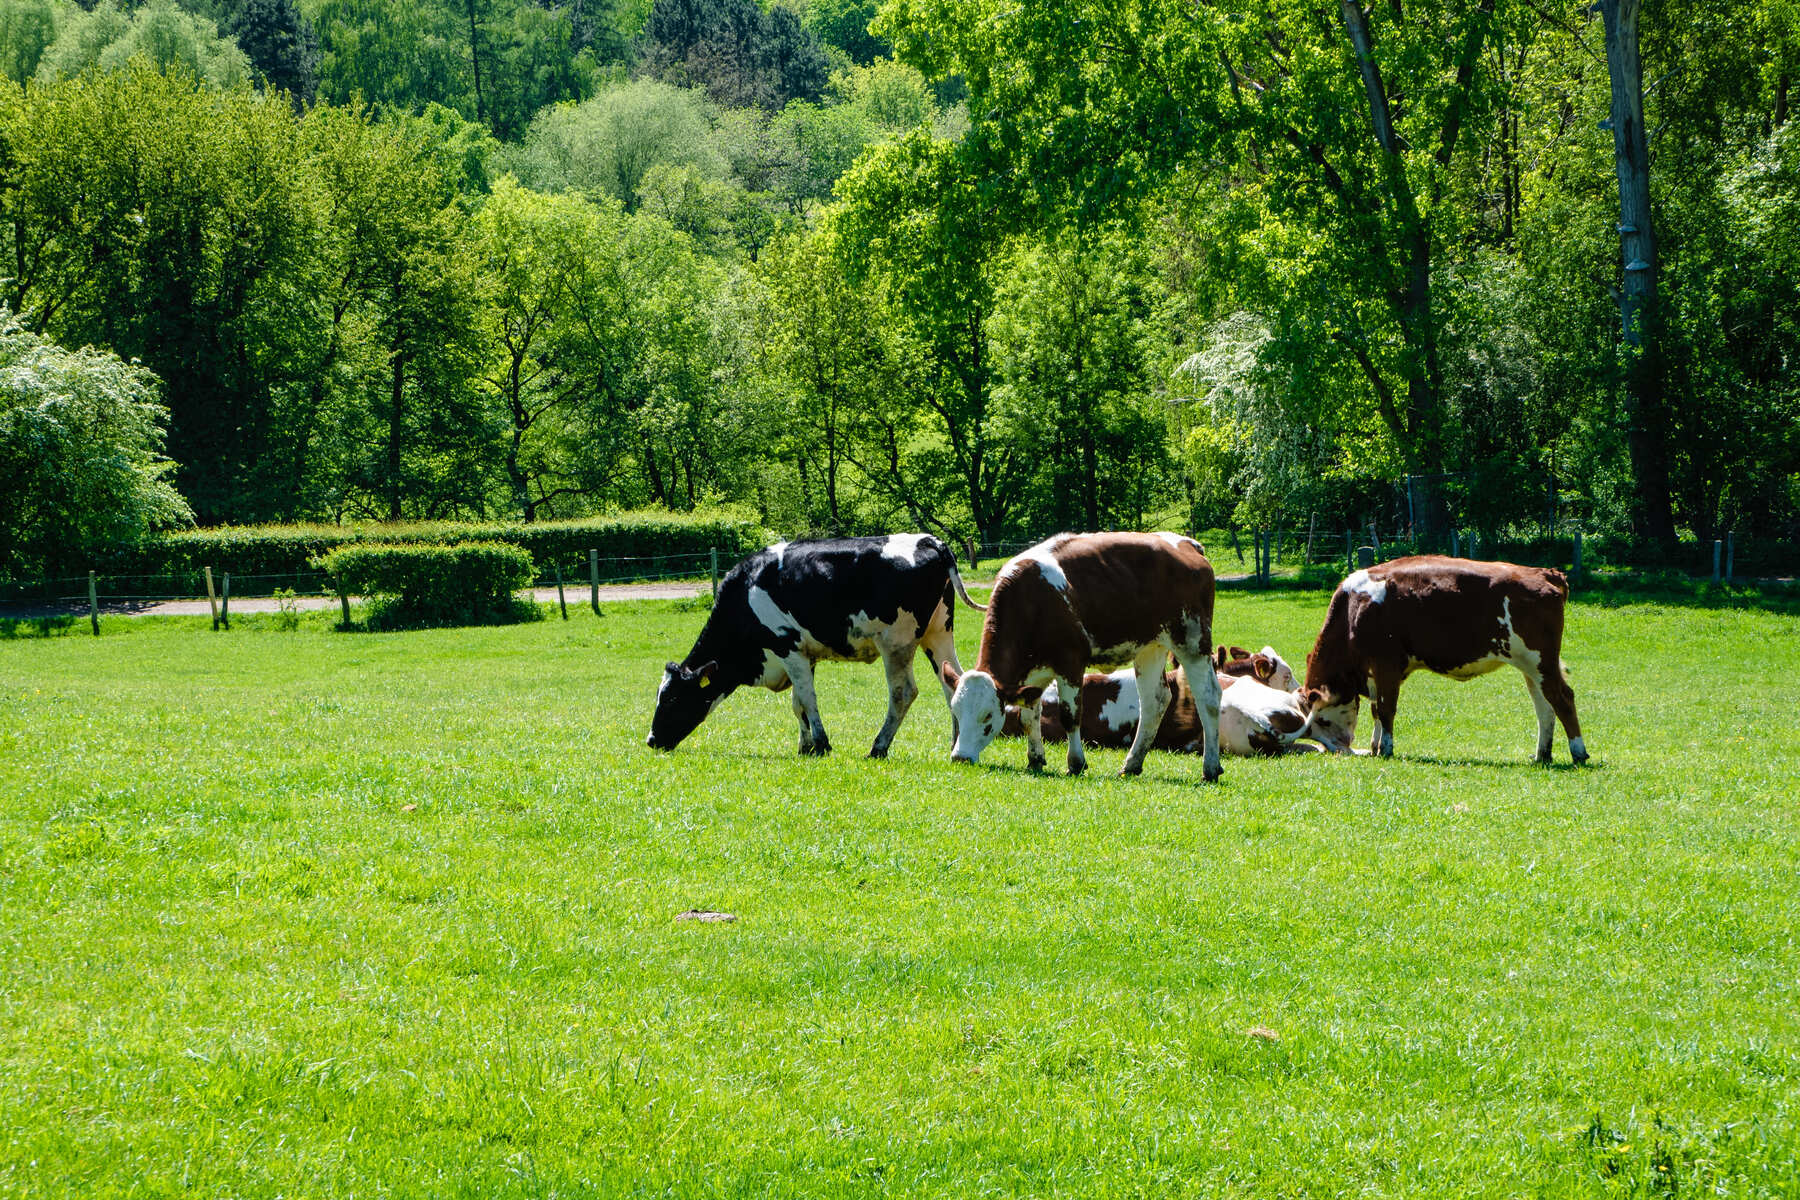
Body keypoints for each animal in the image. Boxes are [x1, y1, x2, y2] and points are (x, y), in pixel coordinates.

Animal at [646, 535, 986, 757]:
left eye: (673, 698)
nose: (651, 740)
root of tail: (929, 540)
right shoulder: (803, 656)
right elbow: (798, 703)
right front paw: (805, 745)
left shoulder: (787, 647)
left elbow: (808, 699)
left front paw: (821, 744)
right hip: (938, 634)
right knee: (953, 681)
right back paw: (954, 743)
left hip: (896, 642)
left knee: (903, 693)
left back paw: (878, 746)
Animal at [941, 532, 1222, 780]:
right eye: (955, 712)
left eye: (987, 717)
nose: (960, 757)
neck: (1032, 601)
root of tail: (1186, 544)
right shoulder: (1031, 674)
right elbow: (1028, 716)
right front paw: (1035, 758)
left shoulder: (1071, 664)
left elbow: (1070, 716)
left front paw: (1075, 763)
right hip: (1150, 647)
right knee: (1155, 701)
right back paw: (1132, 764)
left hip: (1192, 641)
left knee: (1208, 697)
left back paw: (1210, 767)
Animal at [1300, 555, 1589, 764]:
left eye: (1322, 720)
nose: (1338, 749)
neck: (1354, 608)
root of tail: (1543, 572)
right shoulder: (1374, 673)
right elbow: (1376, 710)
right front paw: (1375, 746)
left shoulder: (1386, 665)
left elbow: (1385, 709)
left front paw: (1386, 748)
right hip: (1531, 667)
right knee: (1544, 707)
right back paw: (1542, 754)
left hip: (1541, 661)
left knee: (1563, 699)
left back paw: (1578, 752)